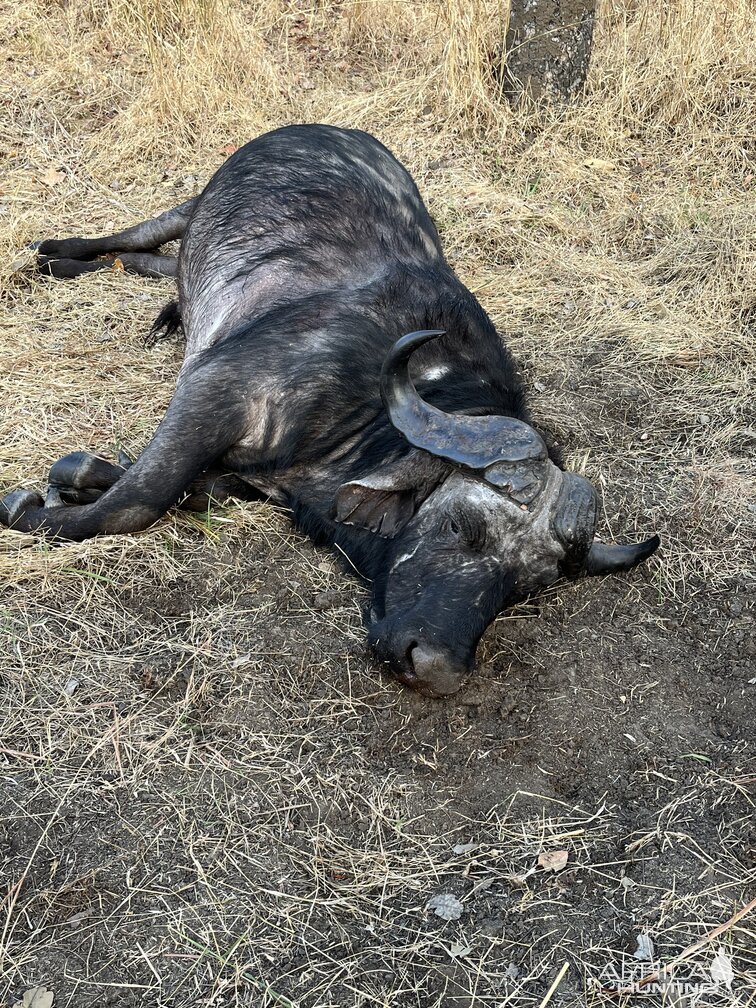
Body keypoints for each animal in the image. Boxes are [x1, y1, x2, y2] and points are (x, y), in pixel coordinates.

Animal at [1, 123, 657, 693]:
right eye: (460, 526)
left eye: (523, 585)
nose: (436, 666)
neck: (366, 408)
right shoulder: (214, 390)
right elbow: (137, 501)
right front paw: (32, 505)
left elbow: (188, 490)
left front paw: (82, 476)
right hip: (191, 206)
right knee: (136, 238)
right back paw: (56, 252)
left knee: (154, 263)